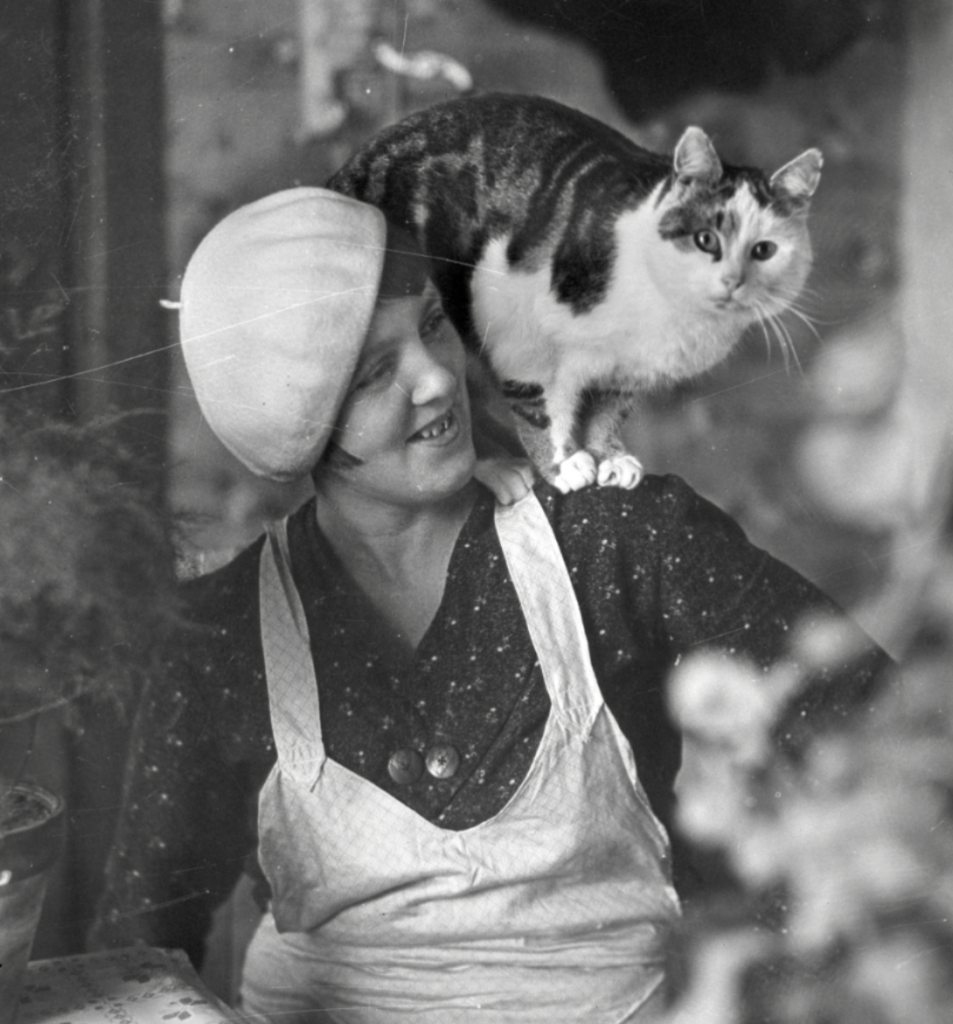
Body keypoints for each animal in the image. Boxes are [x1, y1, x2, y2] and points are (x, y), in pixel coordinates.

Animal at [325, 92, 818, 491]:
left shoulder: (625, 373)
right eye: (706, 239)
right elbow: (540, 408)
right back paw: (498, 468)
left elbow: (607, 412)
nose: (733, 281)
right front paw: (563, 464)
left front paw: (610, 456)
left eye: (764, 250)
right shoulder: (519, 337)